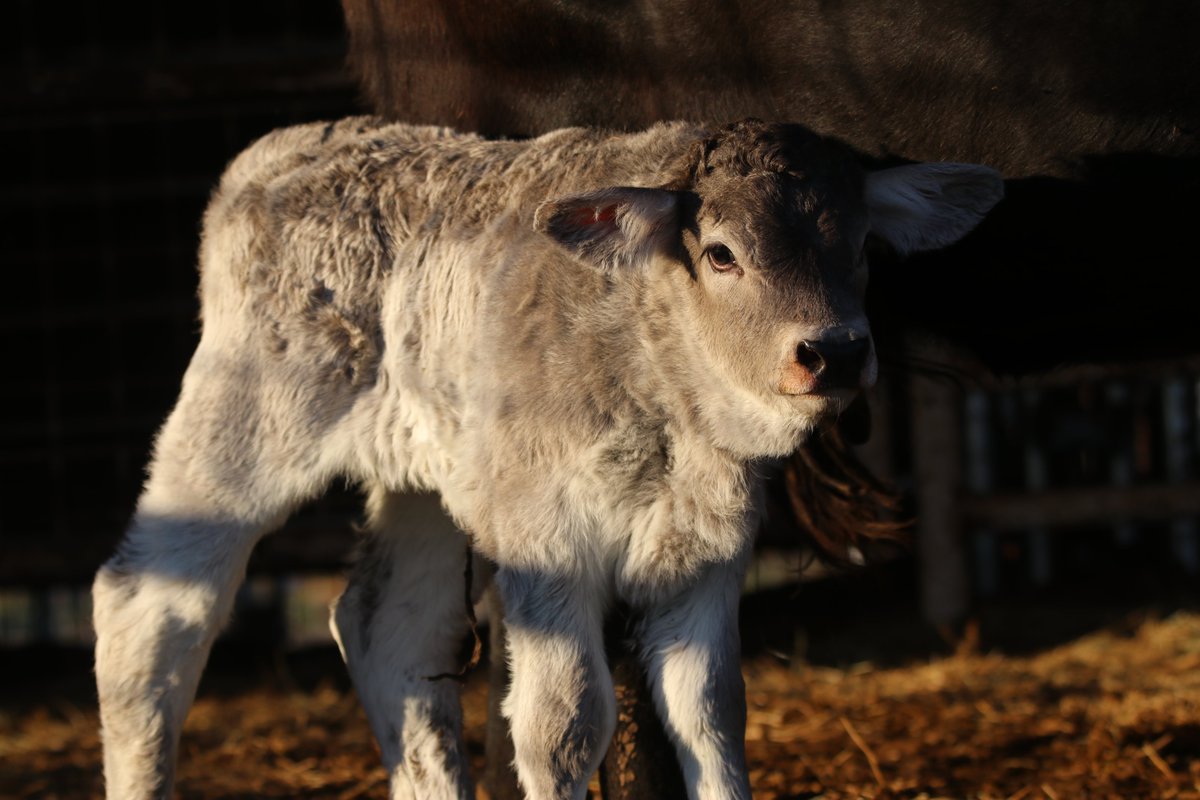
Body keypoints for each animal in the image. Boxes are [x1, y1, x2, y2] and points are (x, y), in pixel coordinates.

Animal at [92, 116, 1001, 799]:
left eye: (862, 248)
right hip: (241, 426)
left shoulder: (709, 554)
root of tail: (277, 153)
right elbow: (563, 726)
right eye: (721, 253)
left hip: (426, 475)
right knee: (149, 607)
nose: (835, 352)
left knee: (391, 627)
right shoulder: (547, 541)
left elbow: (712, 715)